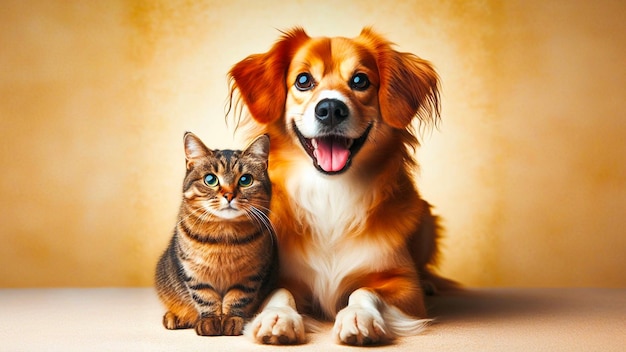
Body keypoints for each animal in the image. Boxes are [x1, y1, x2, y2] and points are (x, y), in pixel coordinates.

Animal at [154, 132, 276, 336]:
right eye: (210, 180)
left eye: (245, 180)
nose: (229, 195)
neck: (223, 236)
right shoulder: (193, 272)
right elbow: (205, 297)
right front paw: (210, 320)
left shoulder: (250, 274)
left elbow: (237, 297)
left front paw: (231, 319)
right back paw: (174, 317)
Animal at [227, 27, 450, 346]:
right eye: (303, 80)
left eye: (360, 80)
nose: (331, 108)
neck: (330, 193)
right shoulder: (272, 277)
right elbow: (280, 292)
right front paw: (277, 317)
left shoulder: (405, 286)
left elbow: (364, 290)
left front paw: (358, 316)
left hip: (425, 218)